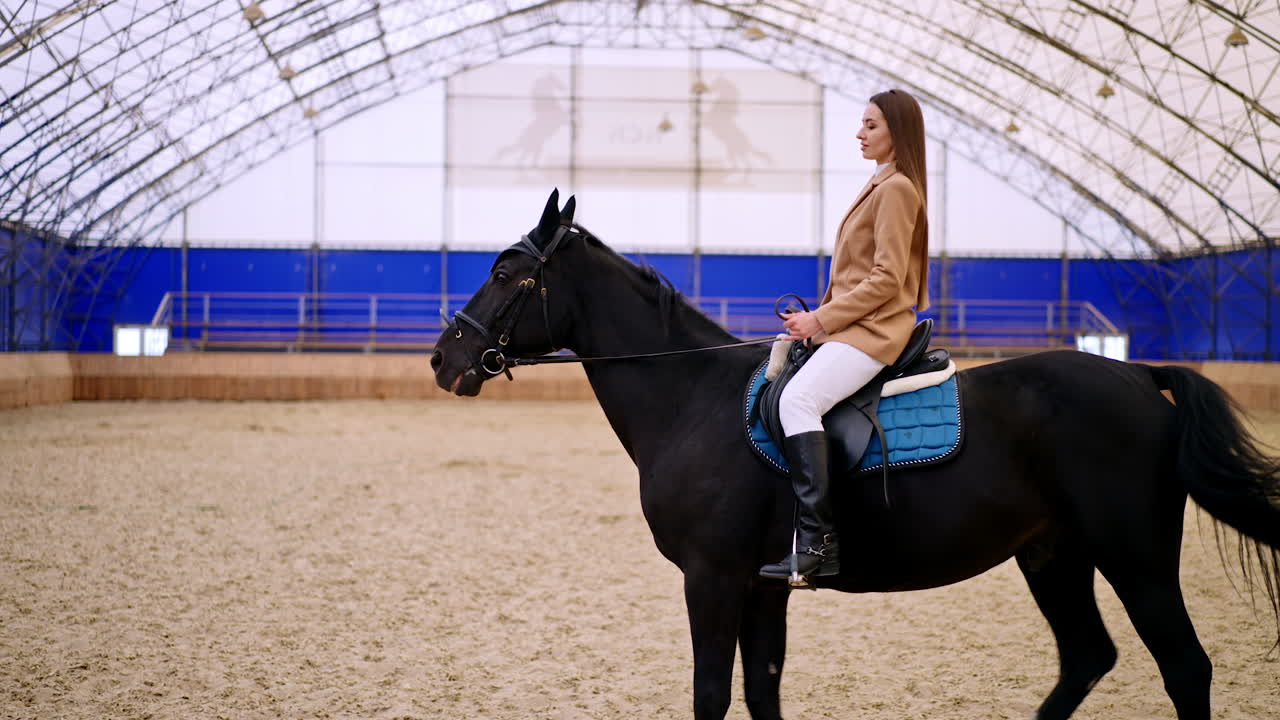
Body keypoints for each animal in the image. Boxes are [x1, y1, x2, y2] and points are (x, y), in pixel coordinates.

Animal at [430, 190, 1280, 720]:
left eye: (505, 273)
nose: (445, 359)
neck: (692, 398)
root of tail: (1138, 373)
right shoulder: (761, 584)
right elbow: (762, 691)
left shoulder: (712, 577)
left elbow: (713, 693)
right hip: (1053, 555)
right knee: (1086, 658)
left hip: (1134, 556)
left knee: (1184, 668)